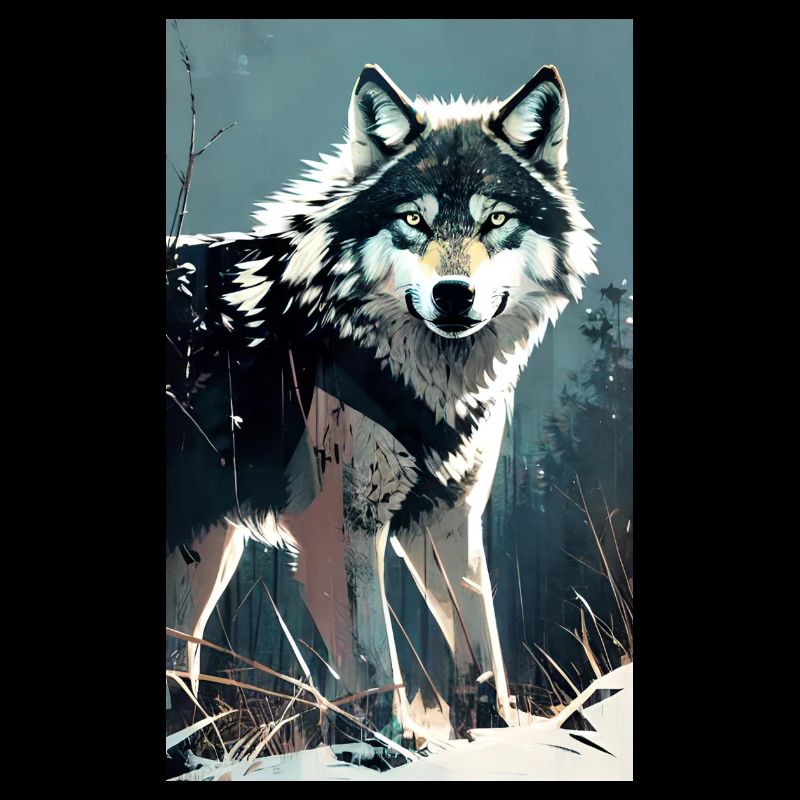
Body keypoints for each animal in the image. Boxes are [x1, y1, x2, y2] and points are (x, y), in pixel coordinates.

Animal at [165, 63, 598, 737]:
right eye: (415, 221)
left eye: (496, 220)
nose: (453, 293)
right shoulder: (339, 524)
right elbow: (374, 664)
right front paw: (384, 746)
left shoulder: (448, 518)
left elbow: (482, 648)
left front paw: (495, 735)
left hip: (205, 552)